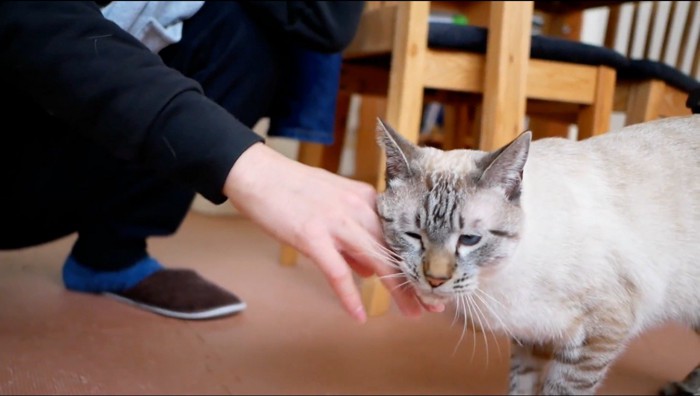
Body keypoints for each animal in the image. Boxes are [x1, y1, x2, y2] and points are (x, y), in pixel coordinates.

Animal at [374, 113, 700, 392]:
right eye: (413, 235)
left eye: (469, 239)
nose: (435, 279)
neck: (497, 278)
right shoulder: (532, 336)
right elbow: (522, 385)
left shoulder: (596, 337)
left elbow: (560, 390)